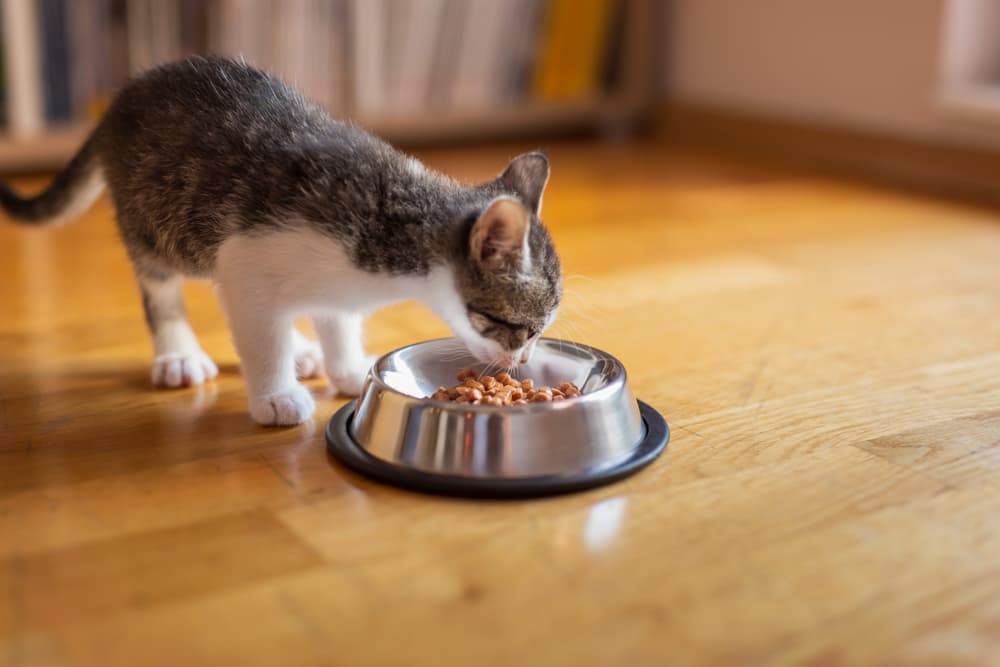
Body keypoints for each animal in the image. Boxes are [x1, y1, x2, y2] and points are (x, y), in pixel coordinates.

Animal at [0, 56, 564, 422]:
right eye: (522, 328)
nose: (522, 364)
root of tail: (122, 96)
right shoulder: (246, 255)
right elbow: (258, 330)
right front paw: (275, 396)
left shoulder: (328, 280)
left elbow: (335, 318)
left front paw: (344, 366)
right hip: (155, 219)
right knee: (161, 286)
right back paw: (178, 354)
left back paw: (303, 350)